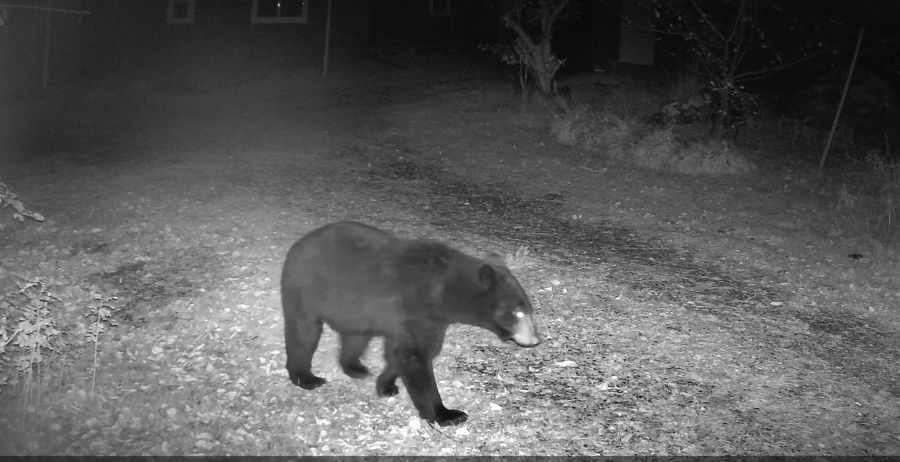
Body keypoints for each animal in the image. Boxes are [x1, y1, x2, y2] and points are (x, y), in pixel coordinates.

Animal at [280, 221, 542, 427]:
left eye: (529, 309)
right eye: (517, 312)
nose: (535, 340)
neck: (445, 291)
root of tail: (301, 242)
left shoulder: (422, 320)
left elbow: (403, 353)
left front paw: (386, 385)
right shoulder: (416, 308)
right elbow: (414, 355)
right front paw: (447, 414)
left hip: (355, 310)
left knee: (356, 336)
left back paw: (355, 367)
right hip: (304, 288)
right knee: (304, 331)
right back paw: (307, 377)